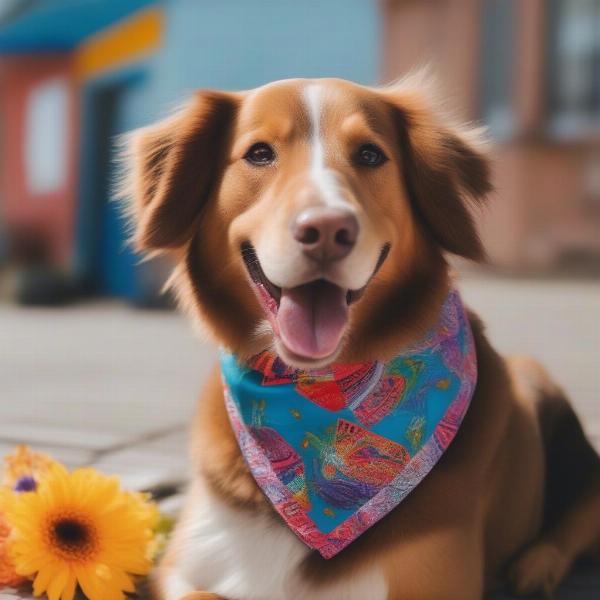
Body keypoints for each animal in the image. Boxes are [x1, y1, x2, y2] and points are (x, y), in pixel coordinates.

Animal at [123, 76, 600, 600]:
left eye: (370, 155)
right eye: (259, 153)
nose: (327, 229)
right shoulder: (183, 568)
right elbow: (203, 590)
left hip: (536, 380)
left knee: (581, 513)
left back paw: (537, 565)